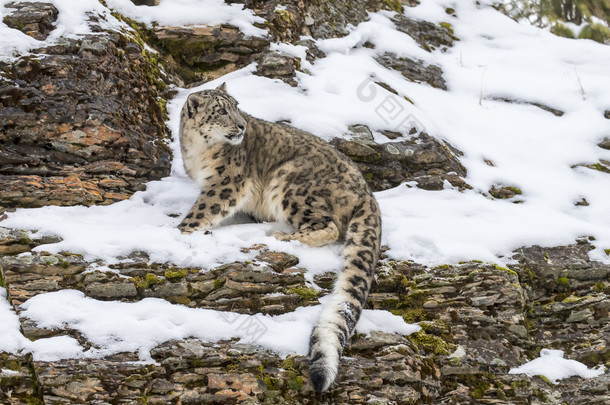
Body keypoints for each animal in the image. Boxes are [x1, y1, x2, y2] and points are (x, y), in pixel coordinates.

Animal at [177, 83, 380, 392]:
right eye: (221, 110)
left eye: (237, 106)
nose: (241, 125)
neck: (198, 151)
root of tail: (367, 191)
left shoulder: (225, 185)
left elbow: (201, 211)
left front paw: (177, 230)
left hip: (290, 182)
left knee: (329, 227)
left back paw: (282, 236)